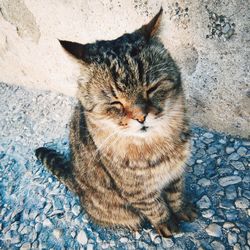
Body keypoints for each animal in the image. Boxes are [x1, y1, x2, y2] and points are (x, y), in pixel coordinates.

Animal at [36, 8, 197, 237]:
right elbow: (155, 207)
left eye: (151, 88)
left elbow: (176, 195)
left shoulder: (175, 174)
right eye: (115, 102)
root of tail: (75, 180)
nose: (141, 117)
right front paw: (167, 224)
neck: (156, 143)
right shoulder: (137, 191)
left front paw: (182, 209)